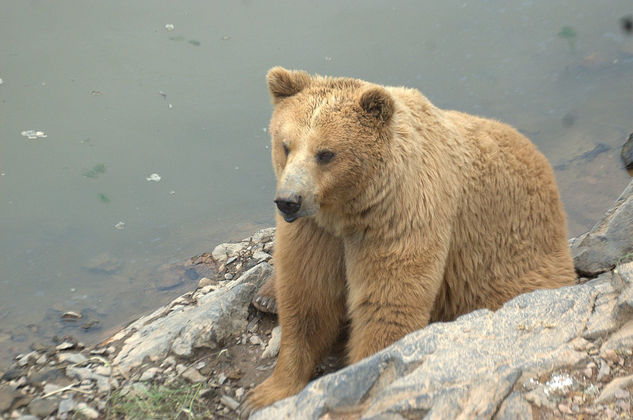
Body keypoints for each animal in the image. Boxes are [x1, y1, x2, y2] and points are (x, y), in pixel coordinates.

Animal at [239, 67, 576, 416]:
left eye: (326, 153)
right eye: (285, 145)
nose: (288, 201)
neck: (348, 211)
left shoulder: (402, 215)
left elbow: (387, 304)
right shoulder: (315, 232)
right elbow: (307, 297)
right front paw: (263, 394)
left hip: (515, 263)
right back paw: (266, 296)